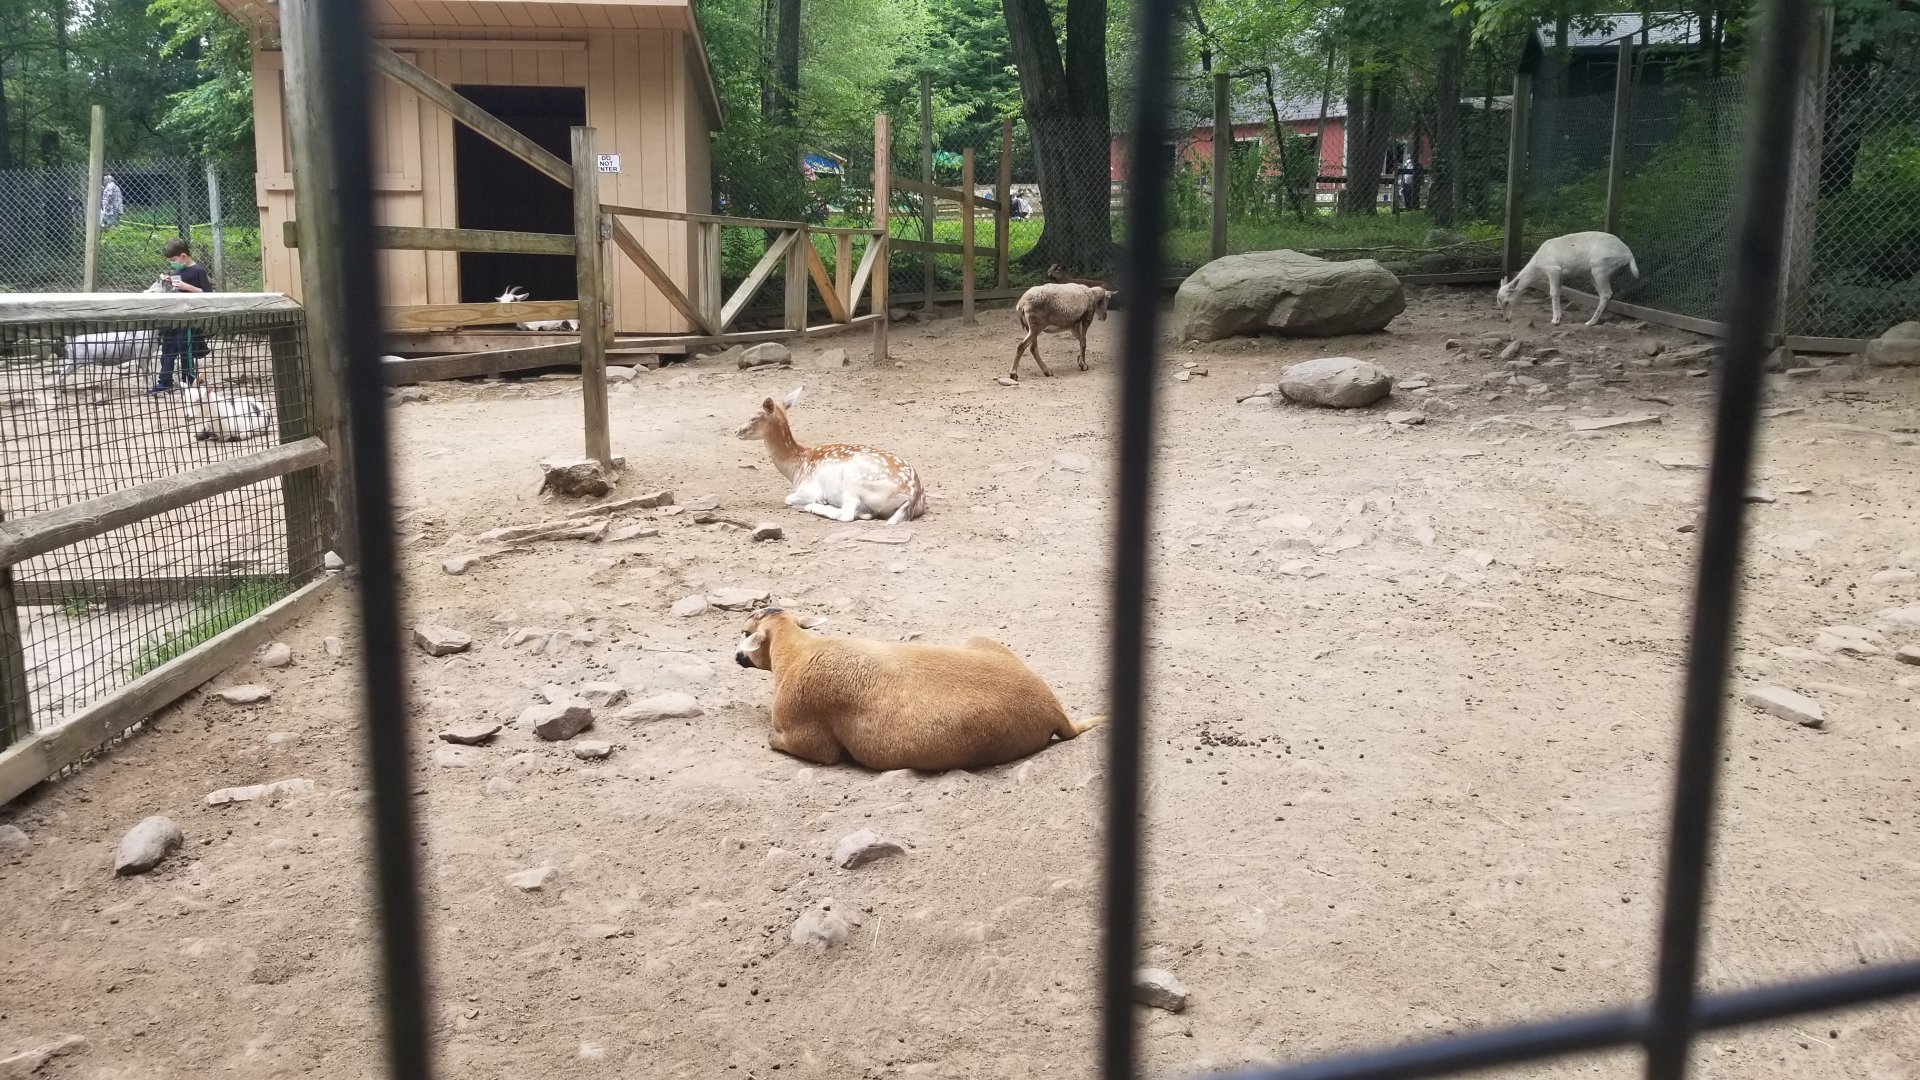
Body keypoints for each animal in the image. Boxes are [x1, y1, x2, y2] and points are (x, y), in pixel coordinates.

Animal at [731, 608, 1105, 770]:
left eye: (745, 632)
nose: (736, 656)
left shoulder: (809, 738)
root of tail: (1054, 709)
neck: (797, 651)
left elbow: (781, 742)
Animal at [736, 387, 926, 524]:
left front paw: (816, 502)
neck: (796, 467)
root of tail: (913, 495)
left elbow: (788, 498)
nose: (737, 431)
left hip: (854, 482)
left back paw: (815, 506)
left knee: (847, 514)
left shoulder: (808, 489)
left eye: (753, 418)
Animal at [1497, 231, 1640, 327]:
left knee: (1607, 293)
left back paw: (1590, 322)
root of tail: (1628, 254)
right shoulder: (1560, 275)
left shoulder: (1553, 269)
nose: (1507, 319)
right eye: (1499, 303)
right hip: (1593, 274)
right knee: (1603, 294)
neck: (1539, 265)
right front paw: (1560, 316)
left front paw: (1555, 320)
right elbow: (1559, 292)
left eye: (1507, 302)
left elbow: (1553, 293)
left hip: (1600, 268)